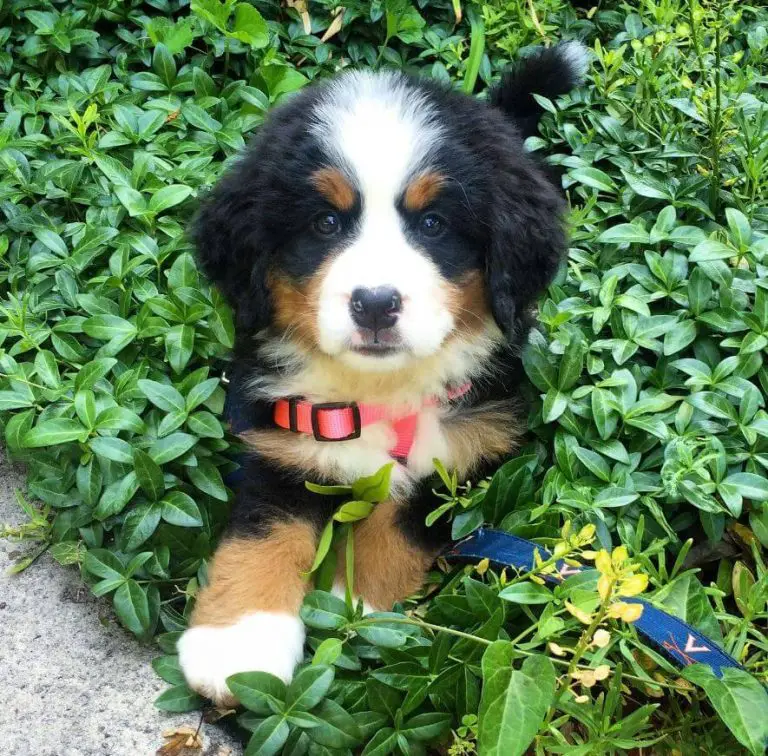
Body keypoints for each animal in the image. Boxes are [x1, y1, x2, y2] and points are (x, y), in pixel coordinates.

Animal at [180, 41, 588, 704]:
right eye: (325, 222)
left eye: (433, 224)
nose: (374, 302)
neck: (379, 393)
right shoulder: (285, 434)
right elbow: (265, 533)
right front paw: (238, 645)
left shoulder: (470, 451)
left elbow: (404, 521)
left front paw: (358, 603)